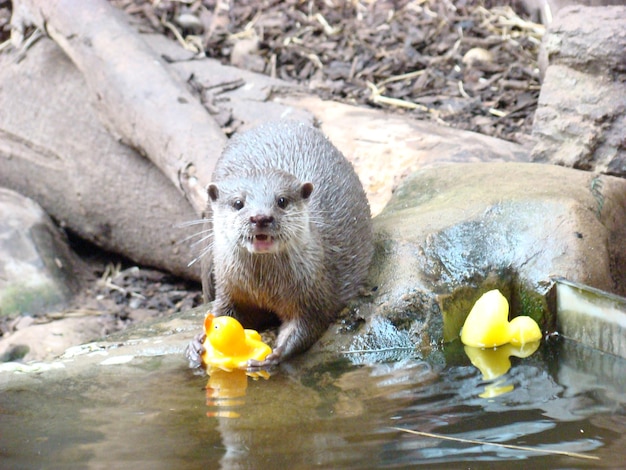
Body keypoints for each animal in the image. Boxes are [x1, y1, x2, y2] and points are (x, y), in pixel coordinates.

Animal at [185, 119, 370, 370]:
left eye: (282, 201)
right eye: (238, 203)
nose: (260, 217)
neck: (264, 287)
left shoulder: (314, 293)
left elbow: (308, 323)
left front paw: (275, 355)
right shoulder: (229, 288)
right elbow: (225, 313)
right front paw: (197, 342)